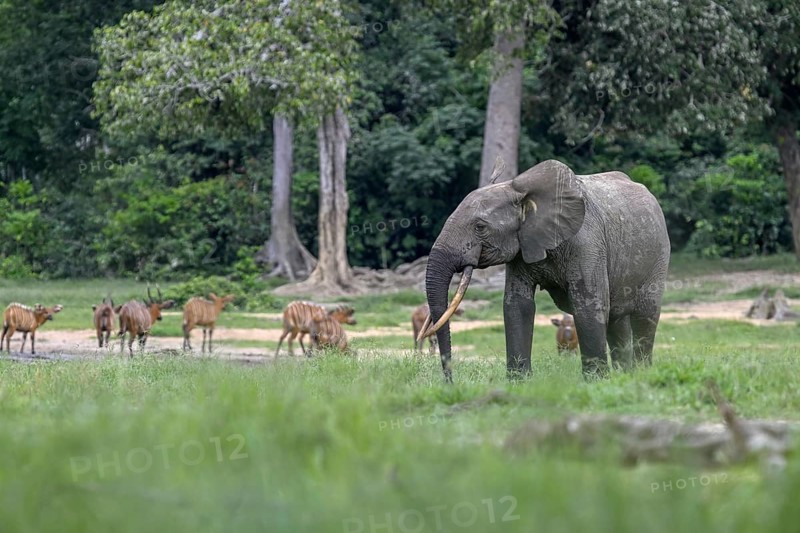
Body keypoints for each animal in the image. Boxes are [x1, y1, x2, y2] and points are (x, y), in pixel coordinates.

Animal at [417, 159, 670, 382]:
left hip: (658, 255)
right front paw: (519, 382)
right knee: (617, 319)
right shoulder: (522, 246)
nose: (450, 382)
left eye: (480, 227)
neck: (520, 192)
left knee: (645, 314)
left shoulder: (587, 243)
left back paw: (641, 372)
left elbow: (588, 304)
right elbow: (518, 305)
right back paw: (625, 374)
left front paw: (596, 382)